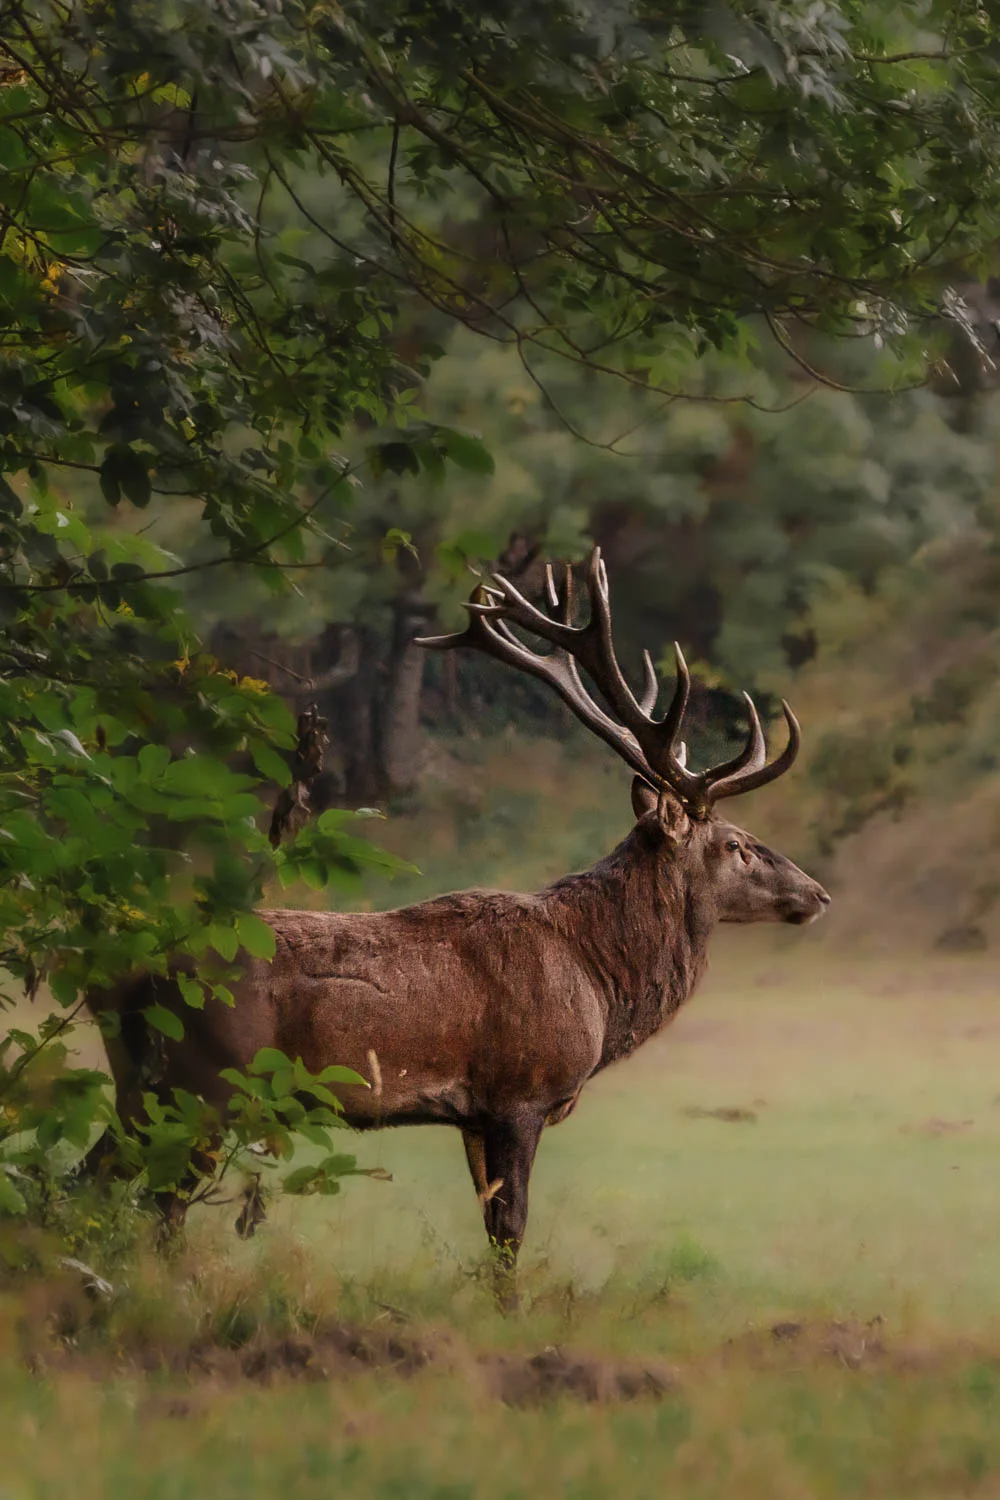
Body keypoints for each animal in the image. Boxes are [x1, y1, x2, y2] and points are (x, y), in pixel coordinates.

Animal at [89, 550, 829, 1300]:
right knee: (157, 1202)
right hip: (202, 1084)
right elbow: (511, 1227)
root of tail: (116, 978)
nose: (818, 894)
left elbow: (491, 1221)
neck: (596, 979)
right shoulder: (519, 1093)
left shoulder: (474, 1113)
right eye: (737, 844)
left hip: (144, 1086)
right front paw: (510, 1310)